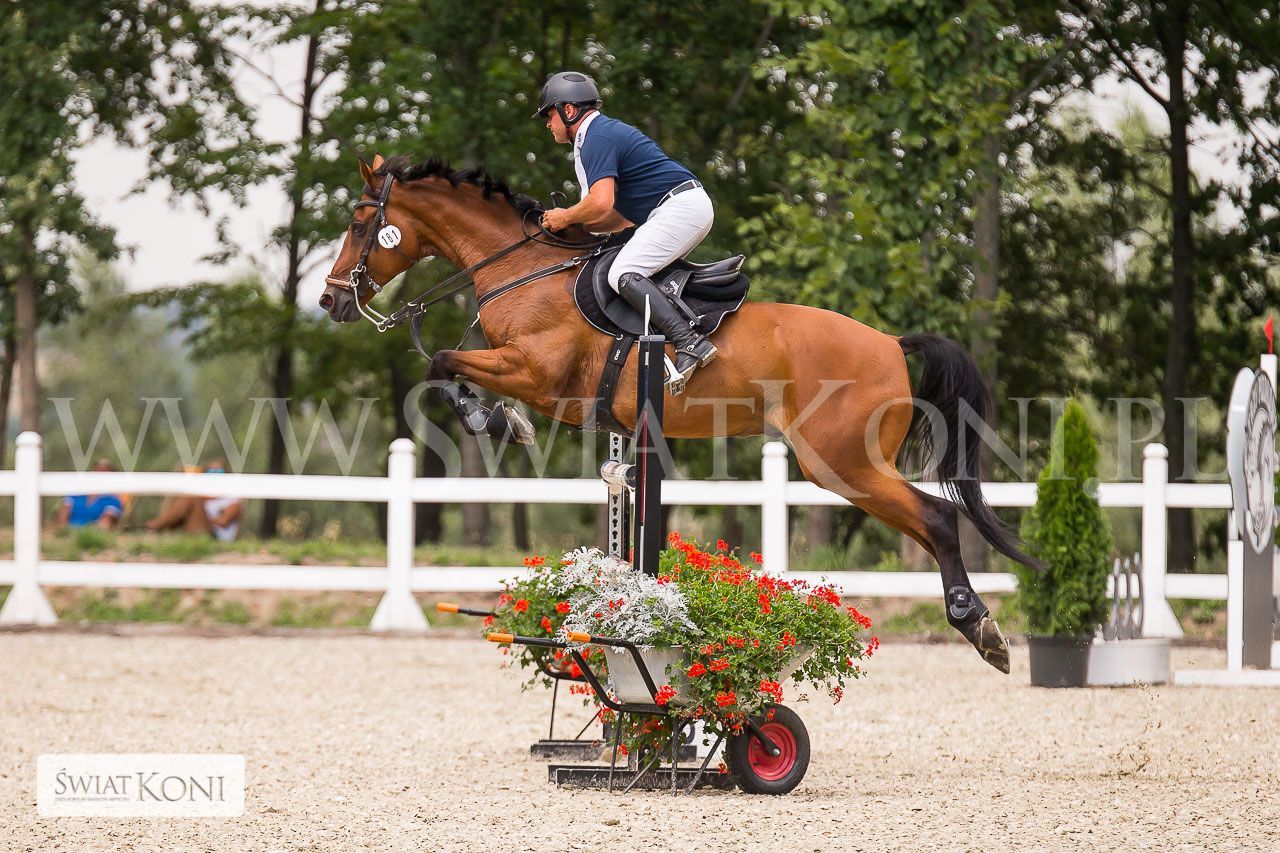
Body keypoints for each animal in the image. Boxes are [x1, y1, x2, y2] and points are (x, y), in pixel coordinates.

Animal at [322, 154, 1037, 673]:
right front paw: (497, 419)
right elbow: (445, 366)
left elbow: (443, 362)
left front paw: (497, 421)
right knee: (930, 521)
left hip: (840, 462)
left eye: (359, 225)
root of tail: (890, 343)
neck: (523, 270)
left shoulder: (536, 374)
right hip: (843, 466)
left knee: (938, 518)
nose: (331, 302)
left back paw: (980, 629)